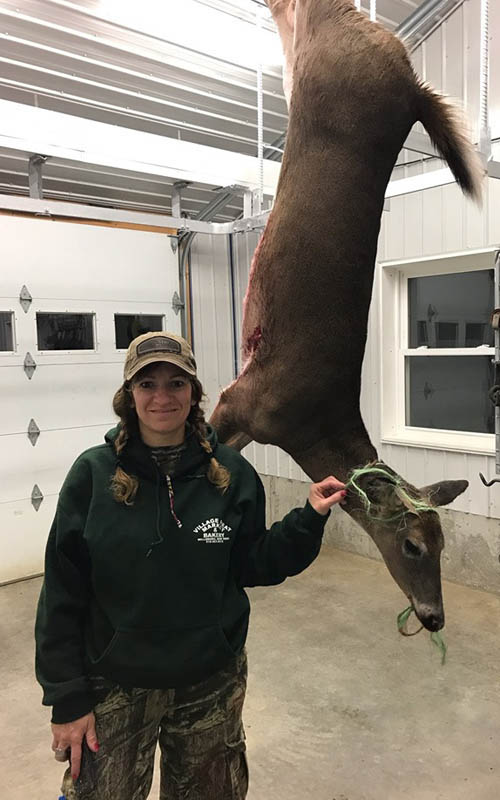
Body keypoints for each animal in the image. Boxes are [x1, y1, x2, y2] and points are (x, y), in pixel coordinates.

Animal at [209, 0, 483, 633]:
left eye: (444, 542)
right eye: (412, 544)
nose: (434, 617)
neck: (311, 426)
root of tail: (412, 84)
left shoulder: (249, 406)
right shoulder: (242, 396)